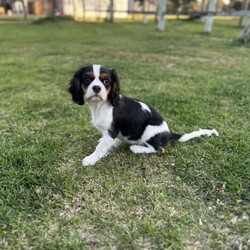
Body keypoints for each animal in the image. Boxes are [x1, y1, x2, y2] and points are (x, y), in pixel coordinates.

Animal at [69, 64, 219, 166]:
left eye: (106, 81)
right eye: (87, 79)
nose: (96, 88)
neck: (100, 106)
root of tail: (169, 133)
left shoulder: (112, 130)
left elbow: (100, 148)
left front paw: (91, 158)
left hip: (149, 131)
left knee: (158, 149)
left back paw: (137, 148)